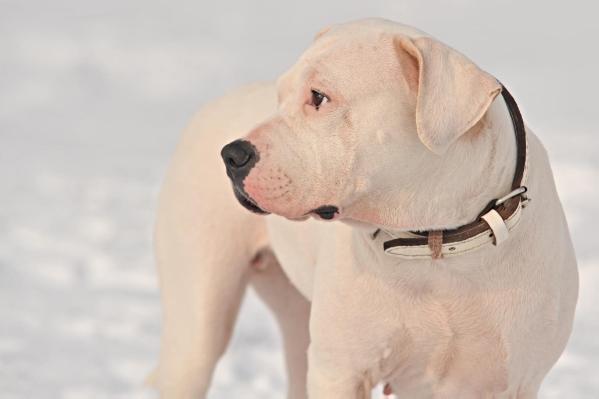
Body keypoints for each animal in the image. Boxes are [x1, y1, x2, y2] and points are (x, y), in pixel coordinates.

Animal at [152, 18, 580, 399]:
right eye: (280, 96)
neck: (437, 246)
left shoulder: (511, 381)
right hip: (198, 330)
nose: (232, 155)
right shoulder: (341, 371)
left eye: (318, 96)